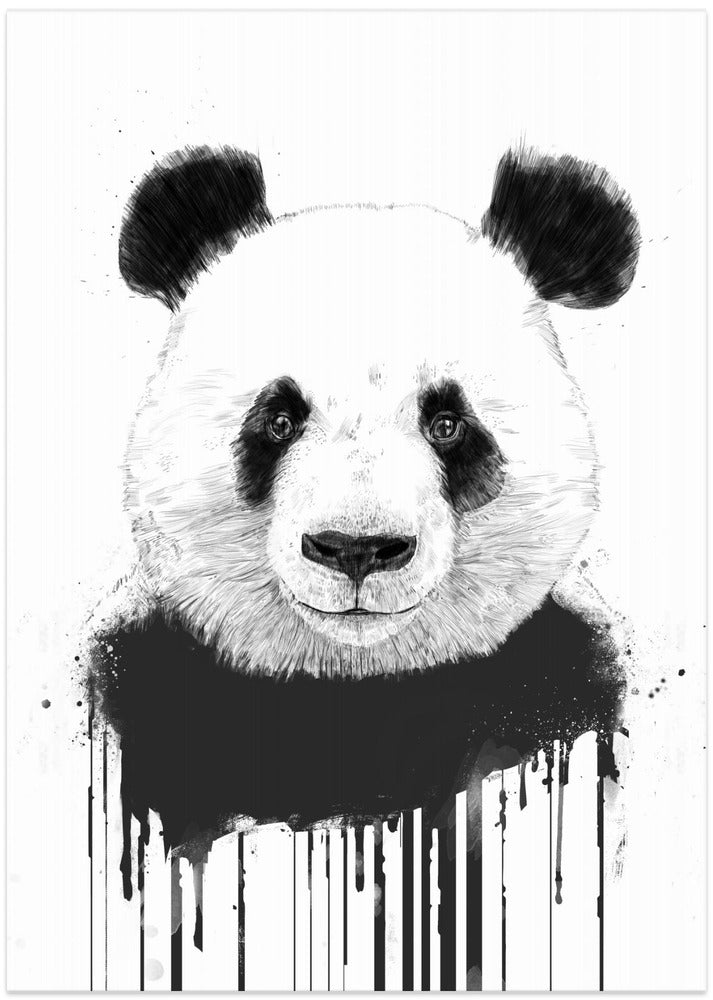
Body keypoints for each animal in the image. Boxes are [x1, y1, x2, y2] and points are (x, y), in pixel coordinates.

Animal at [90, 145, 639, 854]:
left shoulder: (559, 677)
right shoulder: (151, 678)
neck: (354, 683)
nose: (356, 549)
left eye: (447, 423)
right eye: (279, 419)